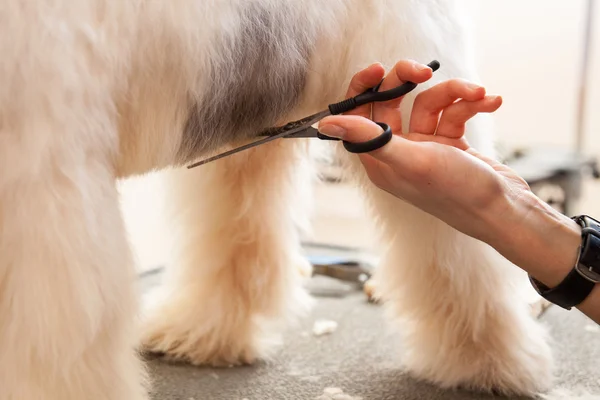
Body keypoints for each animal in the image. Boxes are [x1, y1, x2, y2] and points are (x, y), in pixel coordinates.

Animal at [0, 0, 552, 400]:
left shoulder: (43, 179)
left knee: (463, 262)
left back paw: (491, 365)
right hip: (243, 112)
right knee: (241, 237)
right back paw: (205, 333)